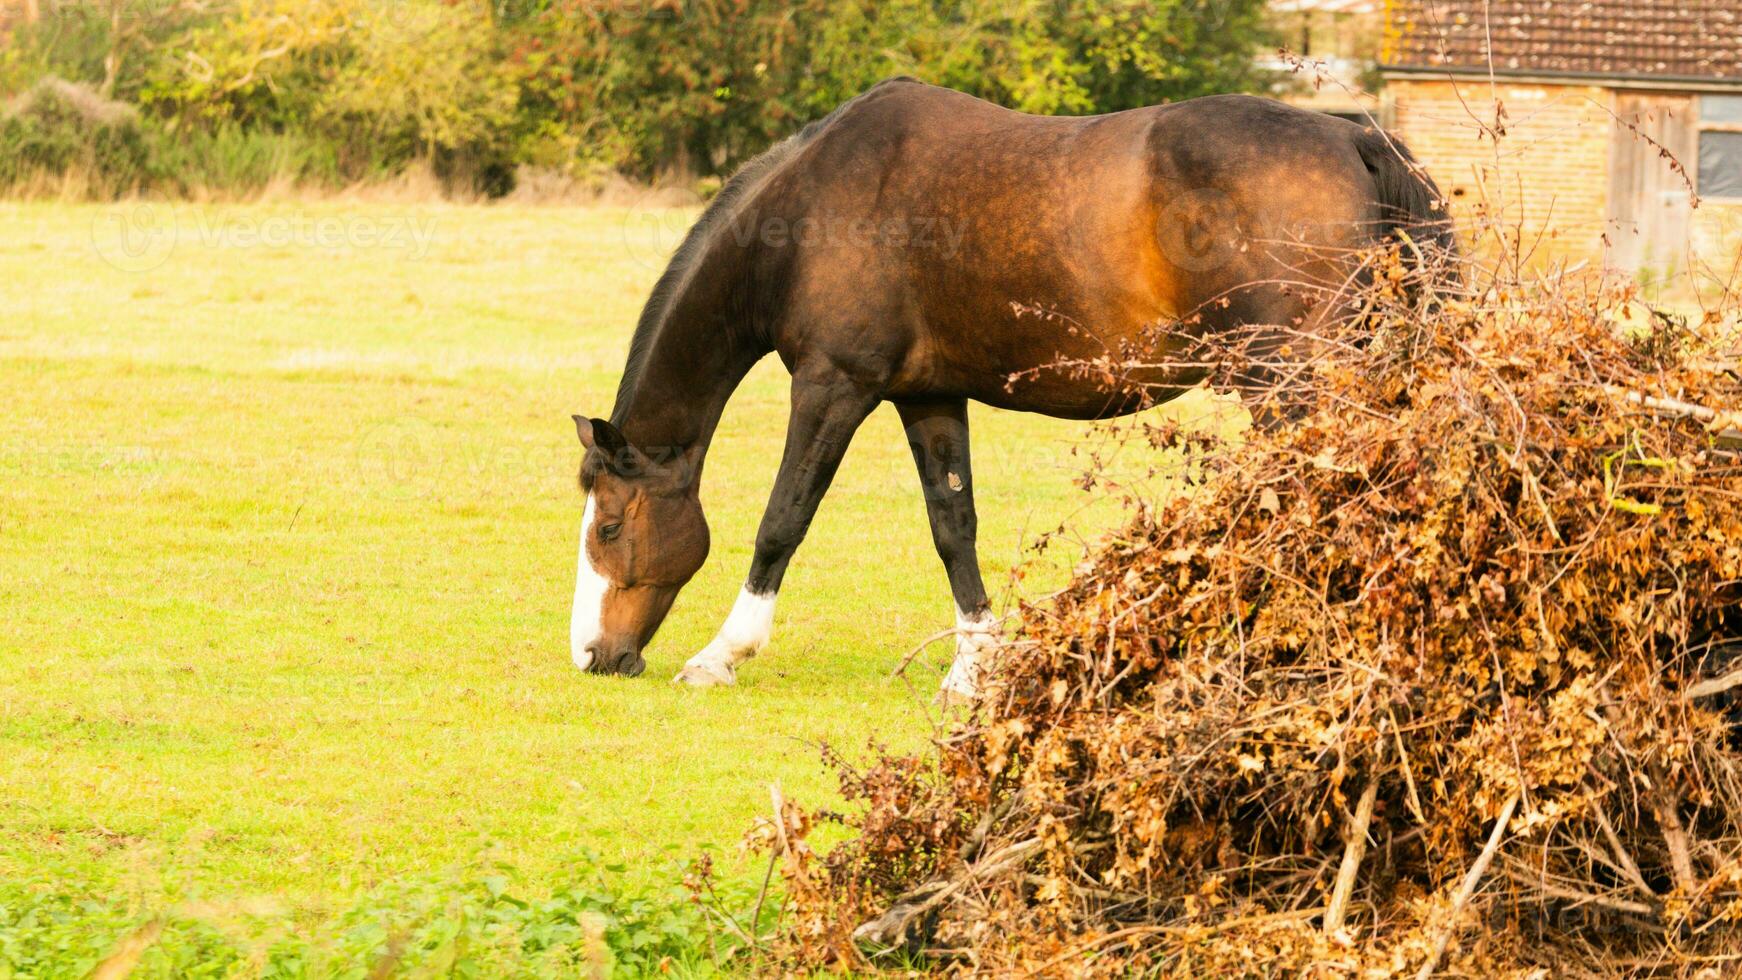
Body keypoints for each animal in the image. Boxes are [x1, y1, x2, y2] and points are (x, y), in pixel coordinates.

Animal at [564, 78, 1449, 696]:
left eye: (608, 527)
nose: (593, 656)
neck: (813, 207)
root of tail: (1352, 133)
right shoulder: (927, 397)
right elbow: (952, 525)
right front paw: (973, 668)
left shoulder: (832, 386)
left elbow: (783, 521)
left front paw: (722, 654)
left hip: (1289, 384)